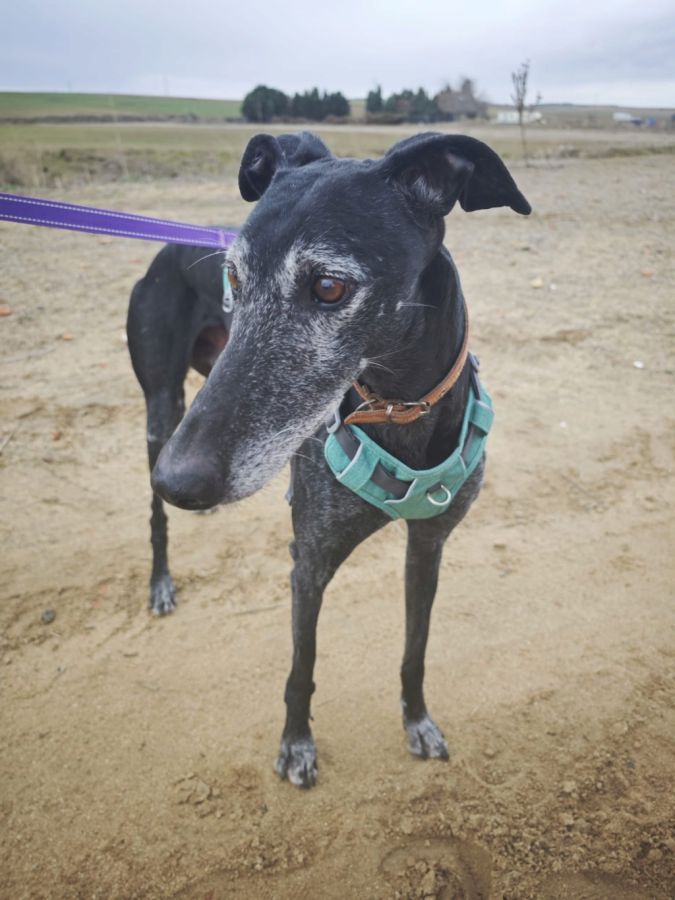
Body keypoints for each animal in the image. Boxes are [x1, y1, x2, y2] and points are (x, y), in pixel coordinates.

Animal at [150, 130, 530, 787]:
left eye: (329, 286)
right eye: (233, 280)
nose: (179, 481)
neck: (399, 409)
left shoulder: (429, 546)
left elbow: (415, 649)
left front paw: (417, 720)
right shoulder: (309, 562)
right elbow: (301, 667)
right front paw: (296, 744)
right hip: (162, 408)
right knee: (154, 514)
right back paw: (160, 582)